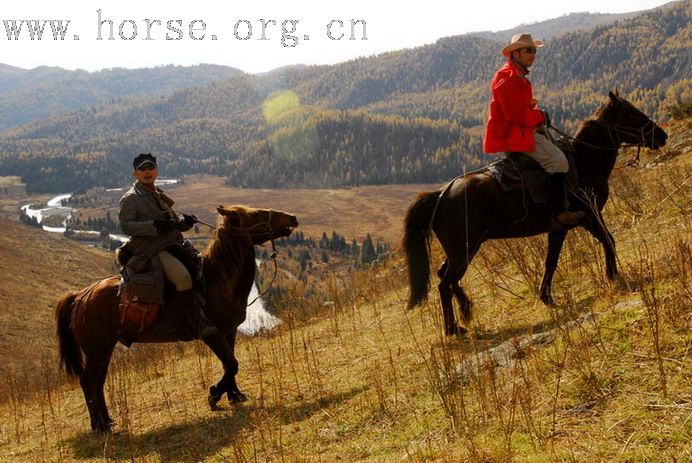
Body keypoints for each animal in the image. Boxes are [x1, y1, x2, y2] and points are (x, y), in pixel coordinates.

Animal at [55, 205, 298, 434]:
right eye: (256, 214)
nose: (292, 218)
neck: (217, 280)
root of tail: (80, 297)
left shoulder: (229, 331)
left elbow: (230, 364)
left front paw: (234, 395)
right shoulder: (212, 334)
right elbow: (231, 364)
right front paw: (214, 395)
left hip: (104, 349)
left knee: (98, 381)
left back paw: (107, 421)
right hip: (97, 349)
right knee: (88, 381)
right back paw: (100, 426)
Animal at [402, 91, 668, 338]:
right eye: (631, 114)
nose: (662, 136)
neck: (584, 163)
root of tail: (441, 194)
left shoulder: (560, 228)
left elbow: (552, 260)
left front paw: (546, 296)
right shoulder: (589, 216)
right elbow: (608, 239)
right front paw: (612, 275)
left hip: (461, 250)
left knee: (445, 276)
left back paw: (465, 310)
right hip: (464, 249)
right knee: (444, 283)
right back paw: (452, 329)